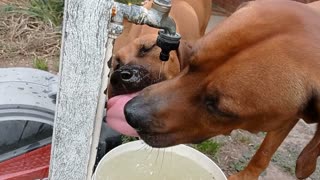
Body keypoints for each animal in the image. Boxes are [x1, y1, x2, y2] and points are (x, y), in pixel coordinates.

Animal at [124, 0, 320, 179]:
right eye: (190, 63)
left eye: (220, 109)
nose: (129, 113)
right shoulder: (289, 116)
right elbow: (264, 152)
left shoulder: (288, 116)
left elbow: (265, 153)